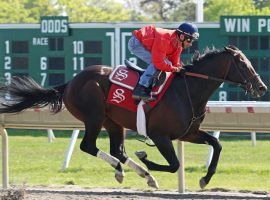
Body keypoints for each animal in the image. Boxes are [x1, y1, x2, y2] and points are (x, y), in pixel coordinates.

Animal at [0, 45, 266, 189]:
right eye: (244, 64)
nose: (261, 87)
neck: (187, 90)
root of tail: (71, 82)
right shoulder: (160, 136)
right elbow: (174, 165)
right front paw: (146, 158)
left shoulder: (188, 133)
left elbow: (217, 144)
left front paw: (205, 179)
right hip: (94, 117)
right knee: (89, 146)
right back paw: (130, 171)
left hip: (113, 122)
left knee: (118, 151)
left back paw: (135, 173)